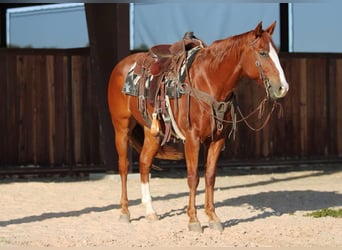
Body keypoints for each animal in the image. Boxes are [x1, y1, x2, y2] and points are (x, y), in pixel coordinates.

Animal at [107, 21, 288, 232]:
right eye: (262, 53)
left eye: (276, 52)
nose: (283, 88)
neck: (208, 80)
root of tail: (121, 66)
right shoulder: (192, 139)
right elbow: (193, 177)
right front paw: (194, 220)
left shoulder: (217, 139)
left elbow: (210, 176)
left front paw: (213, 217)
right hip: (121, 128)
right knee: (124, 166)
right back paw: (124, 211)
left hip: (153, 131)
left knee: (144, 163)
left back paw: (150, 211)